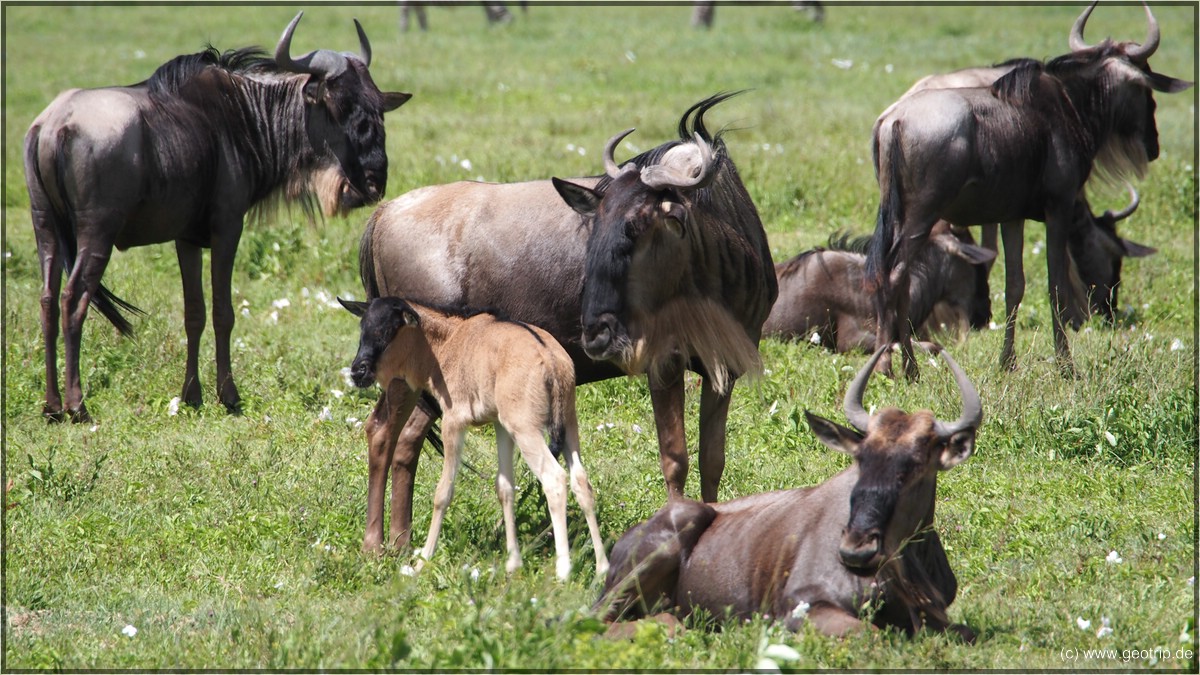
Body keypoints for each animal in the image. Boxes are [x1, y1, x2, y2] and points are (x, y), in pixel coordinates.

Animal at [343, 295, 609, 578]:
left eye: (386, 331)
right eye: (363, 329)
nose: (358, 372)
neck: (450, 339)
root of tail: (551, 360)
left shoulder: (453, 422)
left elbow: (443, 492)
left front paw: (423, 560)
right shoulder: (501, 425)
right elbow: (504, 487)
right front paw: (513, 563)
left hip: (528, 432)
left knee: (555, 479)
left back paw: (564, 569)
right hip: (568, 425)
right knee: (581, 482)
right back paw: (602, 566)